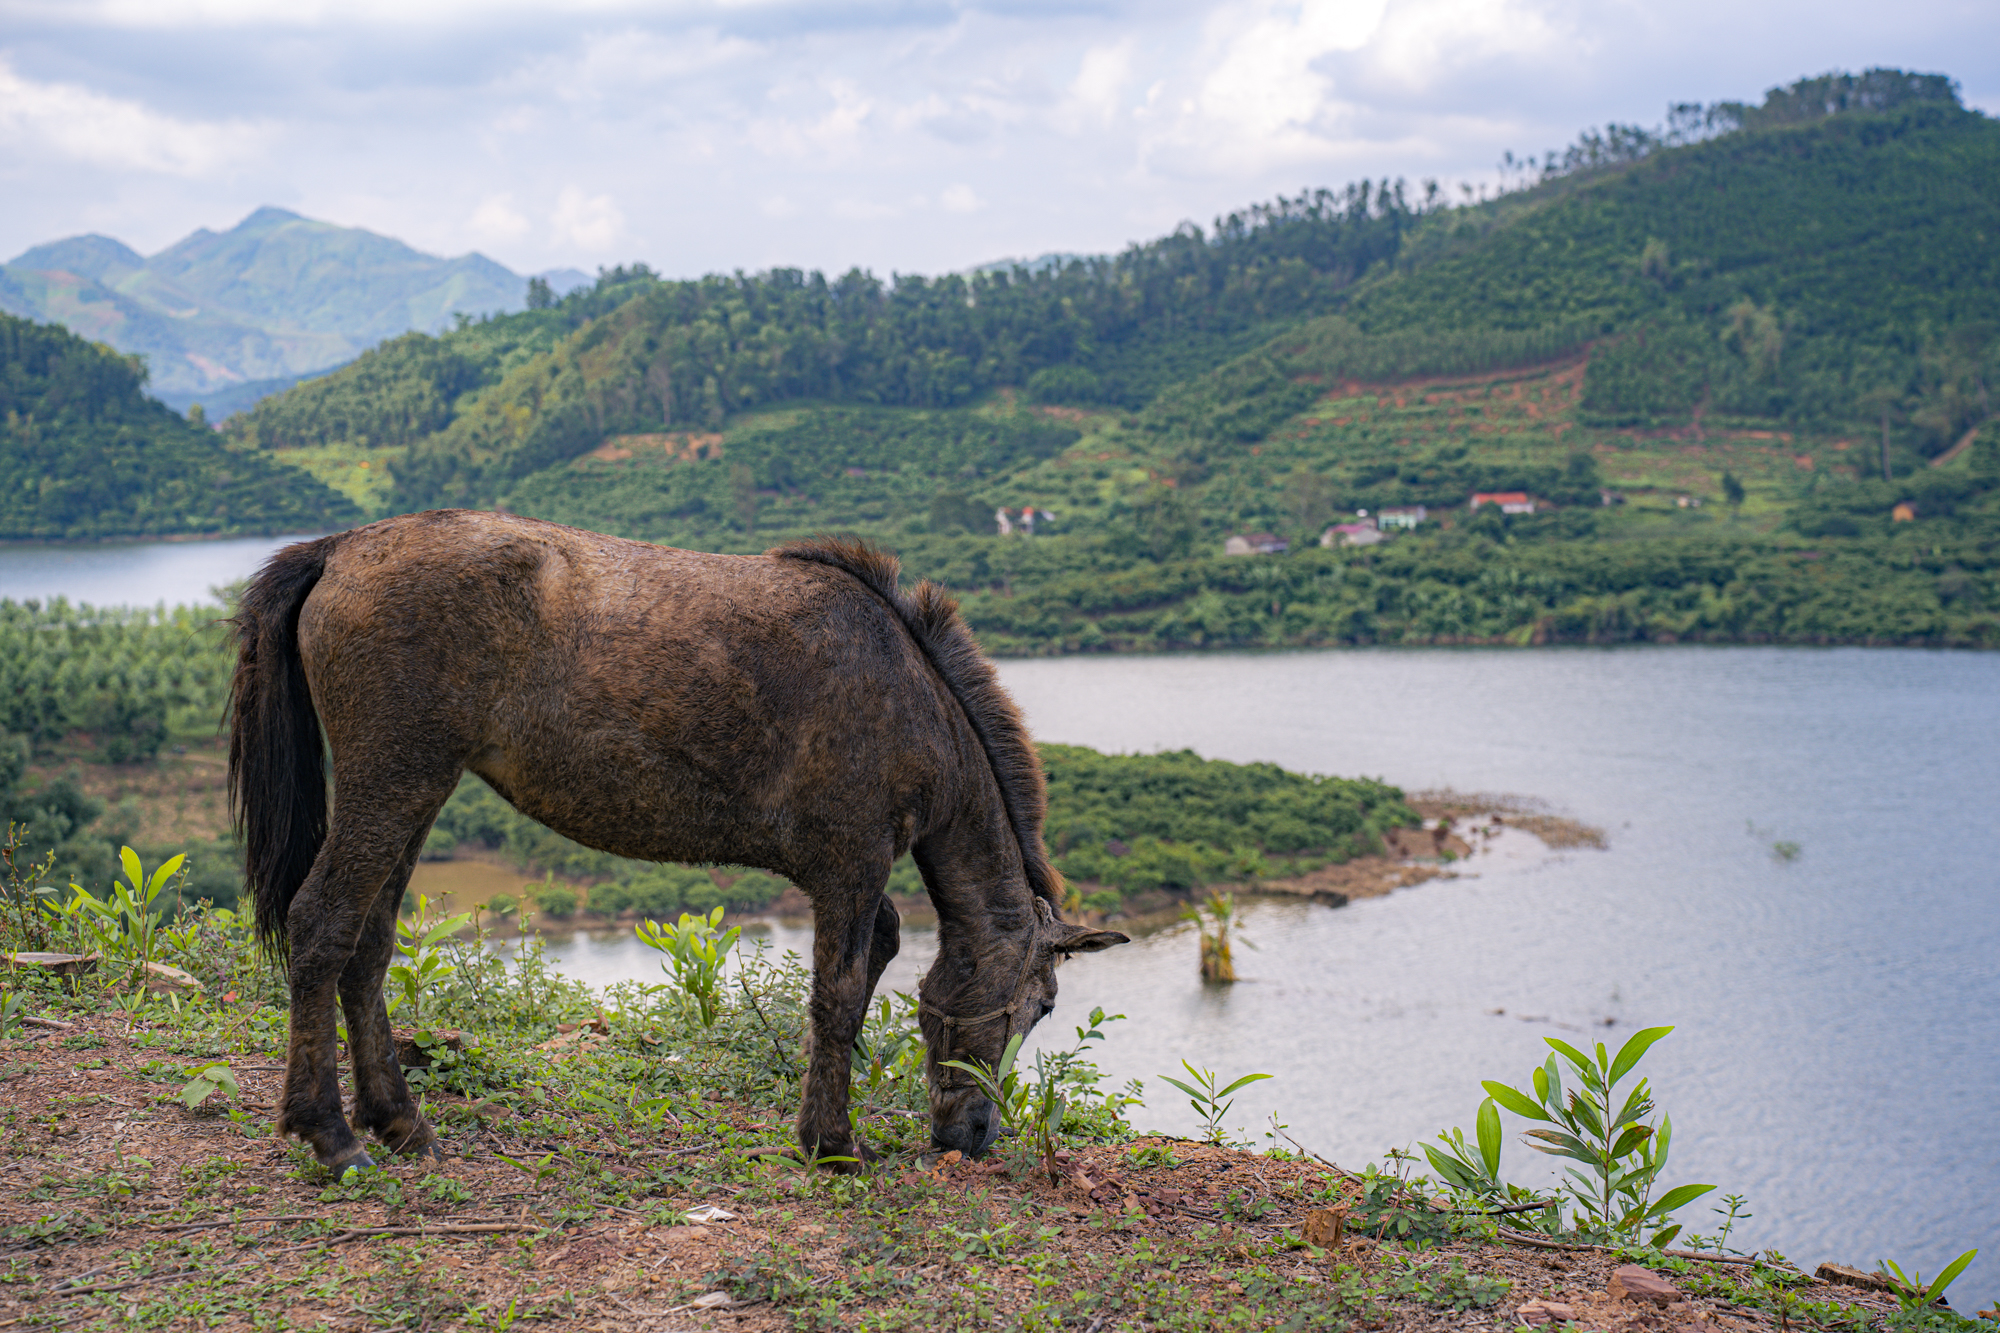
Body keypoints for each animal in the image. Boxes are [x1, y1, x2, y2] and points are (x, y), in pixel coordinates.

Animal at [229, 512, 1136, 1168]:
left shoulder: (859, 881)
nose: (976, 1133)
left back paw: (399, 1121)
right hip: (392, 779)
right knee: (321, 927)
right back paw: (329, 1133)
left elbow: (871, 963)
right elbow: (839, 996)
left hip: (414, 790)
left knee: (369, 943)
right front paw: (832, 1145)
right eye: (1044, 1004)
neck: (915, 697)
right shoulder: (851, 863)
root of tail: (339, 548)